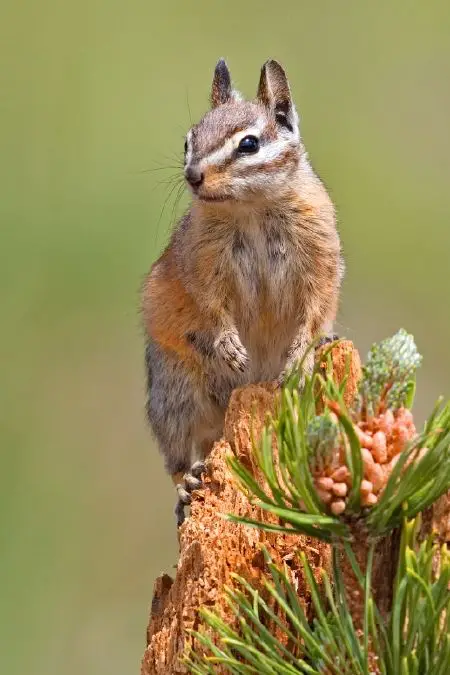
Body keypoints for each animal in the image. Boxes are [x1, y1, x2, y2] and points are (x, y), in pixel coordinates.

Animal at [142, 59, 344, 525]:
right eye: (188, 140)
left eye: (249, 144)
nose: (192, 176)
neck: (251, 208)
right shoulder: (200, 262)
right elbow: (209, 305)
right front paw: (228, 344)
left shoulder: (321, 259)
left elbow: (317, 306)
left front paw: (303, 351)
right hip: (173, 390)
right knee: (177, 456)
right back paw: (187, 485)